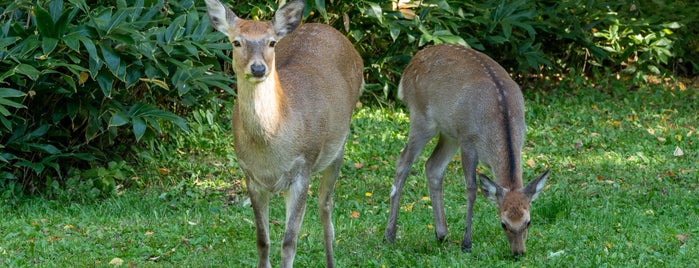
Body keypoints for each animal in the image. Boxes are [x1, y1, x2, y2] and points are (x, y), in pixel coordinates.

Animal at [204, 1, 364, 266]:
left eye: (271, 42)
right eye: (236, 42)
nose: (258, 68)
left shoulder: (303, 168)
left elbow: (289, 242)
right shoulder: (250, 175)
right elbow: (262, 241)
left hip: (337, 146)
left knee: (325, 206)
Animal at [382, 44, 552, 258]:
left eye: (528, 222)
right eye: (503, 224)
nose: (518, 252)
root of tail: (408, 68)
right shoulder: (468, 141)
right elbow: (471, 189)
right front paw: (466, 244)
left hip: (449, 133)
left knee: (433, 166)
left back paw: (442, 234)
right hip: (421, 118)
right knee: (403, 162)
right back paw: (389, 235)